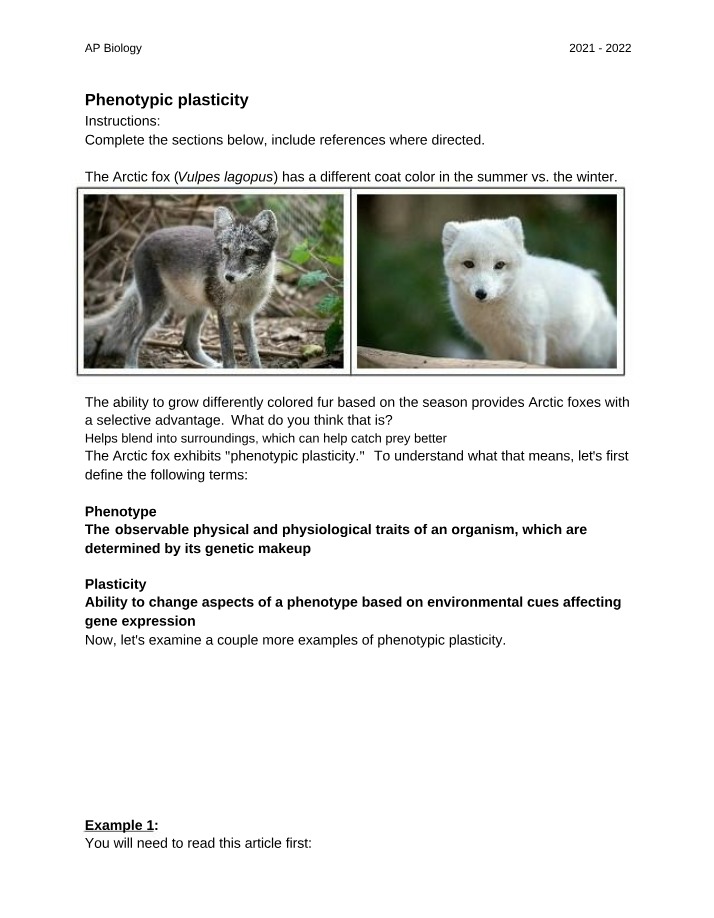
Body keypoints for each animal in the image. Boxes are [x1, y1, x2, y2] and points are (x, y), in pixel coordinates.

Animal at [84, 206, 278, 369]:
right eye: (226, 251)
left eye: (249, 252)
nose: (228, 277)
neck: (246, 292)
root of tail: (143, 241)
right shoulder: (224, 315)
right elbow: (229, 359)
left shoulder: (246, 318)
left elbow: (255, 357)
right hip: (157, 309)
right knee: (133, 337)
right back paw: (131, 367)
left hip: (199, 309)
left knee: (188, 344)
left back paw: (210, 365)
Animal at [443, 216, 617, 368]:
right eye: (468, 264)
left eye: (499, 265)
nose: (481, 293)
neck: (494, 318)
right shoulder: (495, 347)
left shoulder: (533, 339)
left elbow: (535, 363)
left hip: (590, 356)